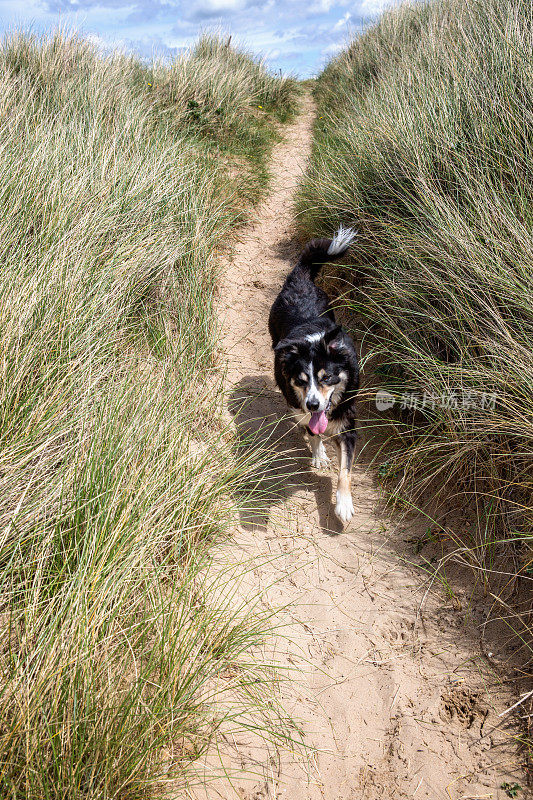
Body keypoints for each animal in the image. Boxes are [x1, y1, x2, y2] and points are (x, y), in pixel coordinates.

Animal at [268, 227, 360, 524]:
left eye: (326, 377)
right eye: (301, 380)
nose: (313, 403)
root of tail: (300, 278)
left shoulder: (348, 423)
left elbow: (345, 471)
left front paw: (343, 503)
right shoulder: (299, 403)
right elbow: (313, 431)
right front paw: (318, 454)